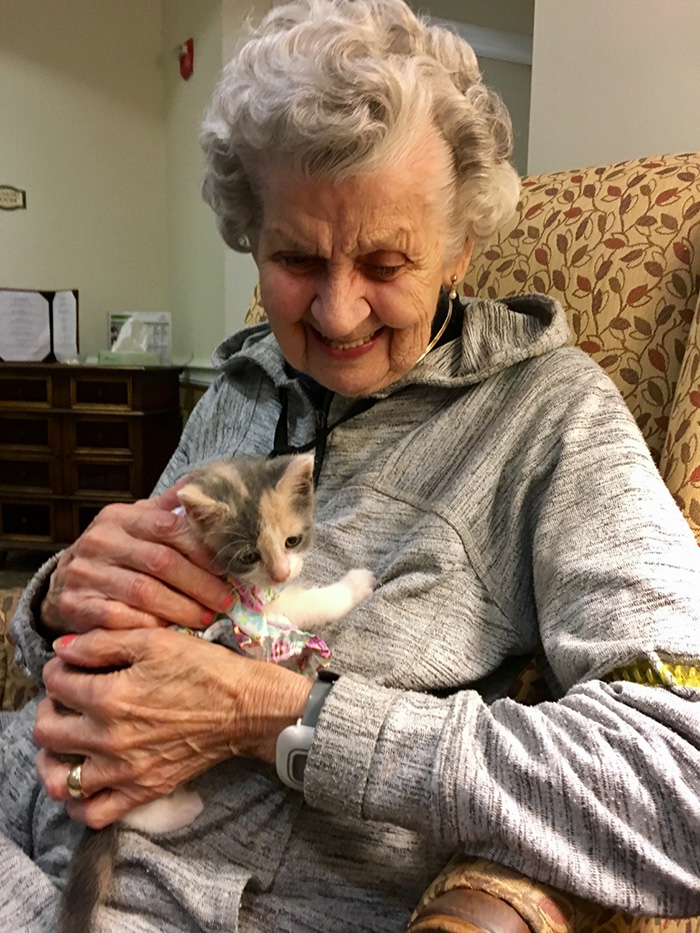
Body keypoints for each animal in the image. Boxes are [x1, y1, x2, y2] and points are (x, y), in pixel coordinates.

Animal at [58, 454, 378, 932]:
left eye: (293, 539)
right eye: (248, 556)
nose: (282, 572)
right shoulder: (245, 606)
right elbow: (304, 605)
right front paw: (354, 584)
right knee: (126, 805)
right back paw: (181, 809)